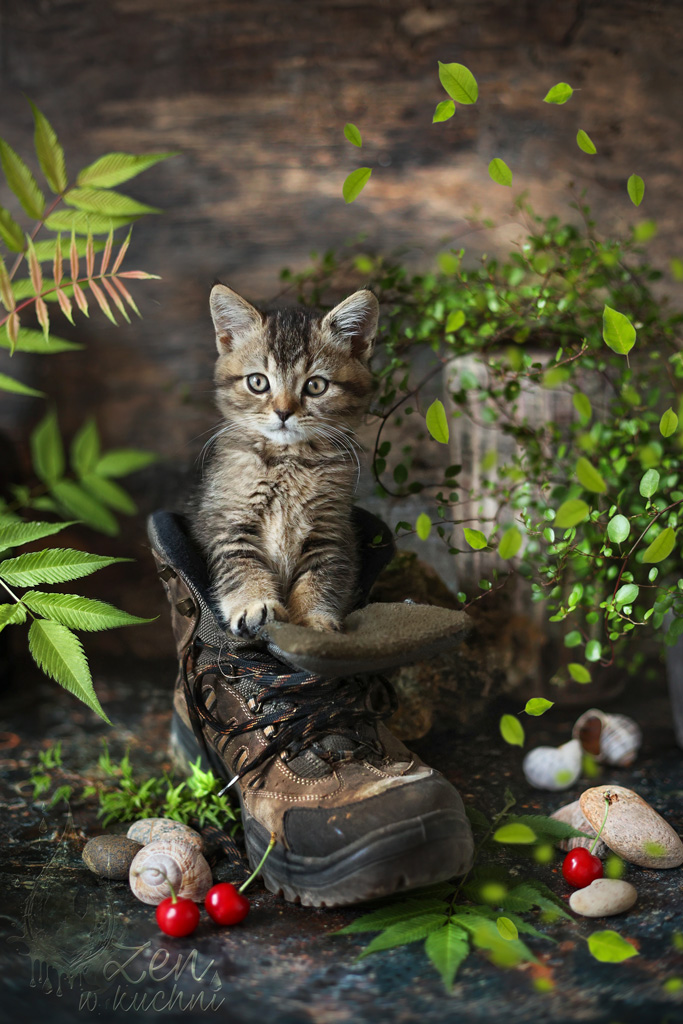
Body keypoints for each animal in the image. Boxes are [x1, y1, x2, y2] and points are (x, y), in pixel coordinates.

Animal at [192, 284, 378, 634]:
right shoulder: (226, 523)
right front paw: (254, 604)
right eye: (258, 382)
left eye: (316, 385)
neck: (287, 463)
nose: (283, 412)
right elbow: (241, 566)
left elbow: (322, 577)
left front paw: (313, 620)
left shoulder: (331, 531)